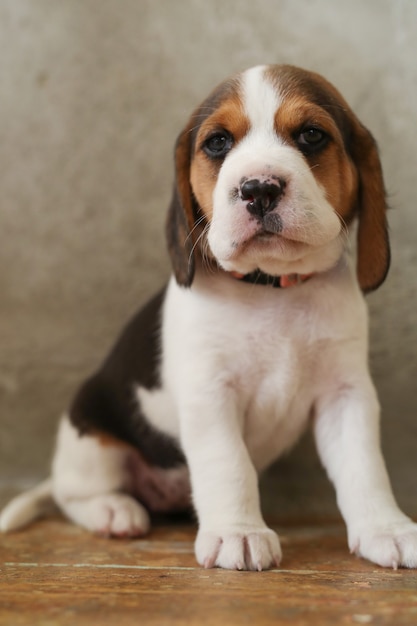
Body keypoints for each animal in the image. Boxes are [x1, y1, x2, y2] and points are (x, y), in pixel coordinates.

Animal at [1, 64, 414, 572]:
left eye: (312, 135)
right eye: (218, 143)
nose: (259, 188)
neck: (271, 289)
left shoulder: (346, 395)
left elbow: (364, 467)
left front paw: (386, 529)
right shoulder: (210, 393)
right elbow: (228, 463)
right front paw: (238, 532)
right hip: (91, 438)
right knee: (72, 494)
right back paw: (114, 510)